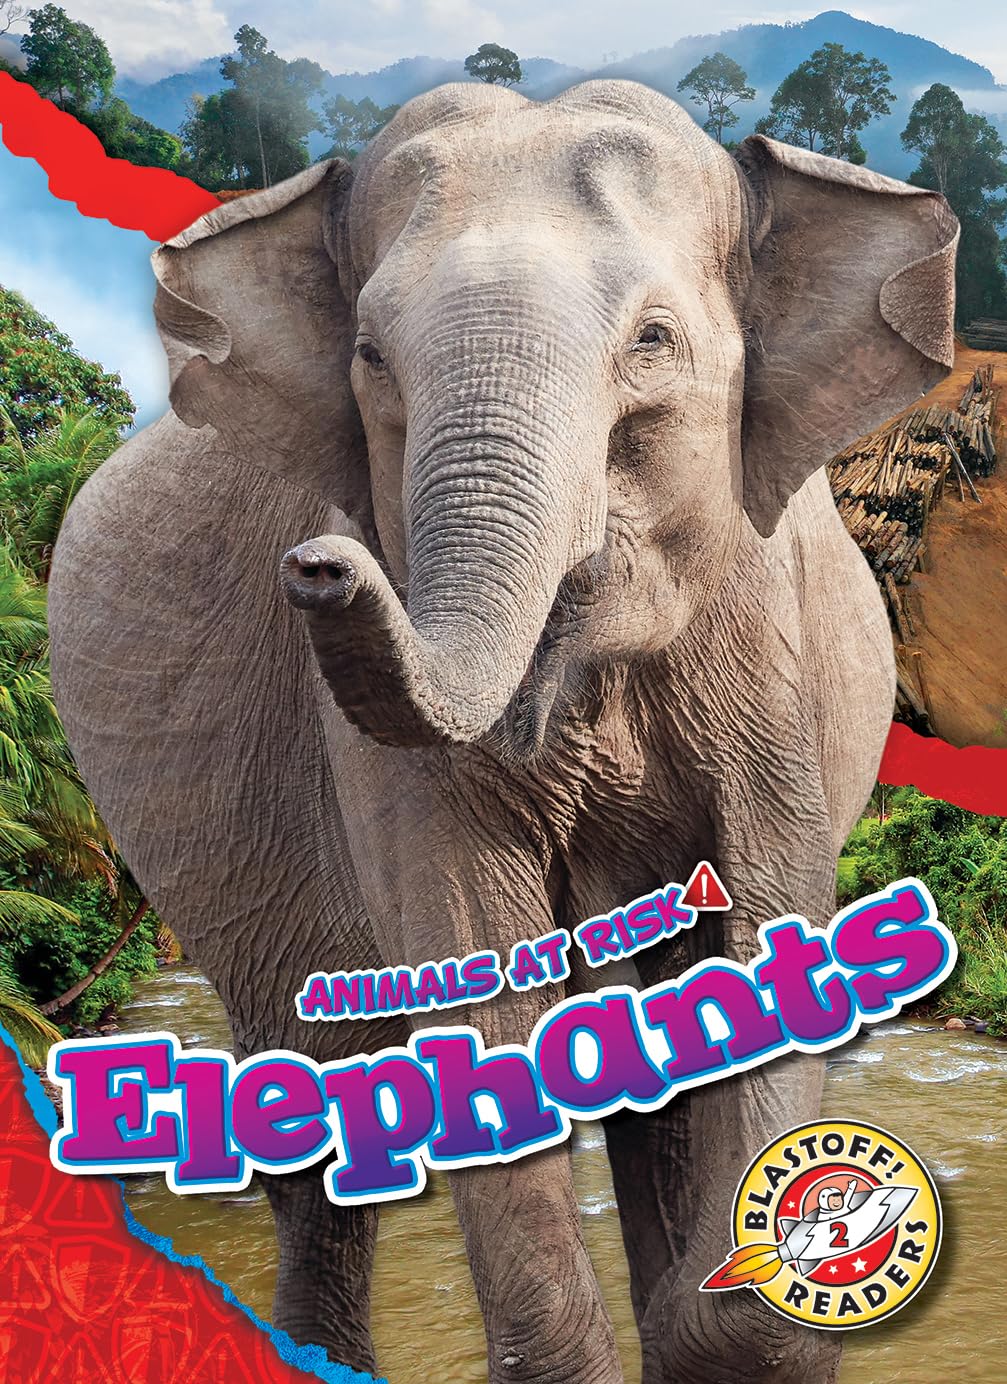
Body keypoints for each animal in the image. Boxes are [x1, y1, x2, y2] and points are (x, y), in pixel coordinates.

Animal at [48, 80, 957, 1384]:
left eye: (652, 341)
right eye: (369, 357)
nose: (319, 566)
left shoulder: (766, 648)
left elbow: (763, 922)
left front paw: (718, 1303)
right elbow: (470, 947)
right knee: (310, 1121)